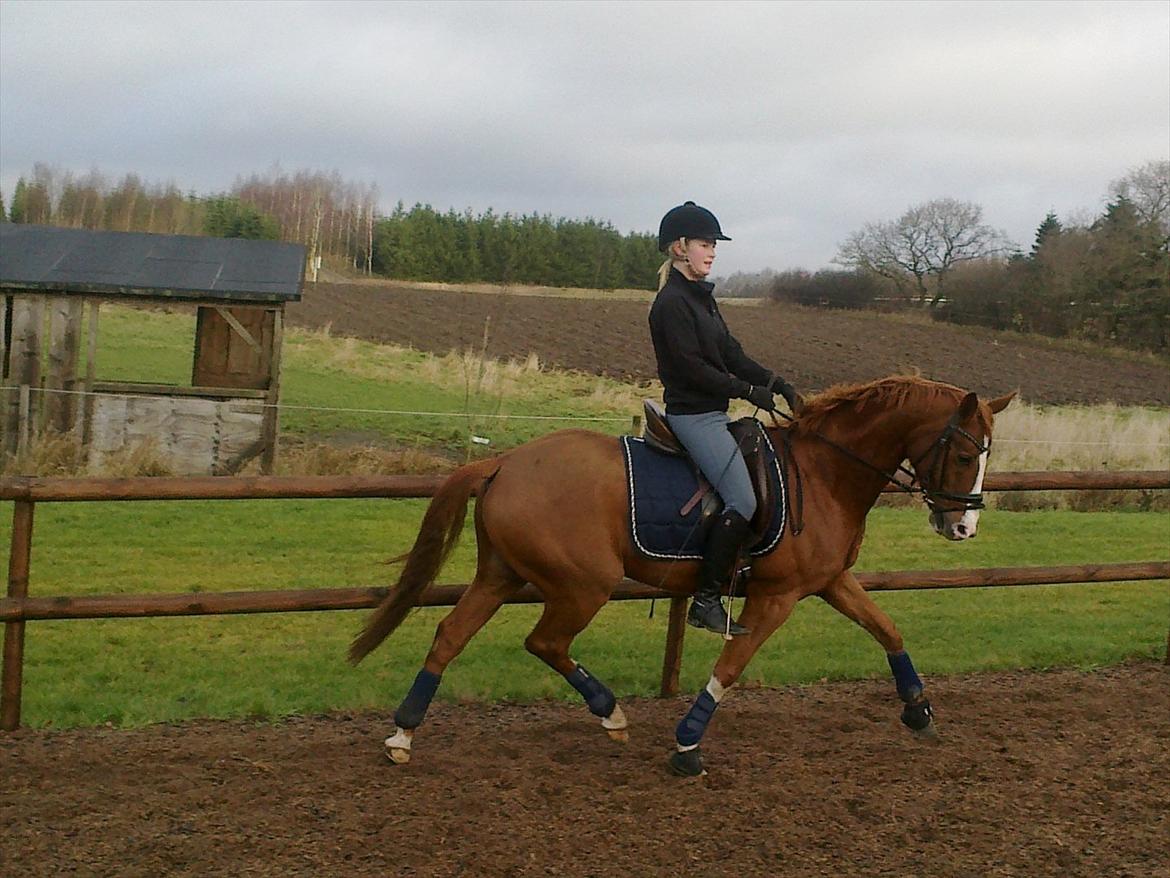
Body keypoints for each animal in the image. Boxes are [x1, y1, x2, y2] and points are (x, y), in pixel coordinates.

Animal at [349, 375, 1015, 776]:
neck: (825, 472)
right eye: (963, 455)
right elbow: (731, 666)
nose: (963, 528)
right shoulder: (777, 597)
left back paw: (404, 734)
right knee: (545, 642)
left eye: (984, 456)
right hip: (582, 585)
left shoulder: (828, 583)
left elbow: (888, 630)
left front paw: (919, 711)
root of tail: (504, 462)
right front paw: (688, 742)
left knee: (451, 636)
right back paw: (610, 713)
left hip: (501, 575)